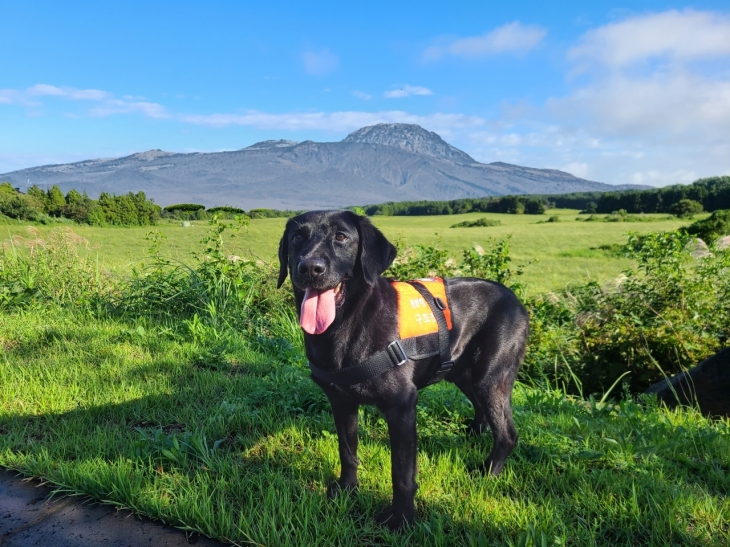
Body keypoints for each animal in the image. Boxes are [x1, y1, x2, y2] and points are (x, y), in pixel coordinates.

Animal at [276, 211, 528, 532]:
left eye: (341, 237)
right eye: (297, 237)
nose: (309, 267)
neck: (347, 324)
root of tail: (515, 299)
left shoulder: (402, 406)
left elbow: (402, 473)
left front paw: (402, 519)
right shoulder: (341, 401)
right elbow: (347, 451)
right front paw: (347, 490)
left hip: (491, 377)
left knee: (507, 433)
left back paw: (488, 473)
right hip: (466, 375)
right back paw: (473, 434)